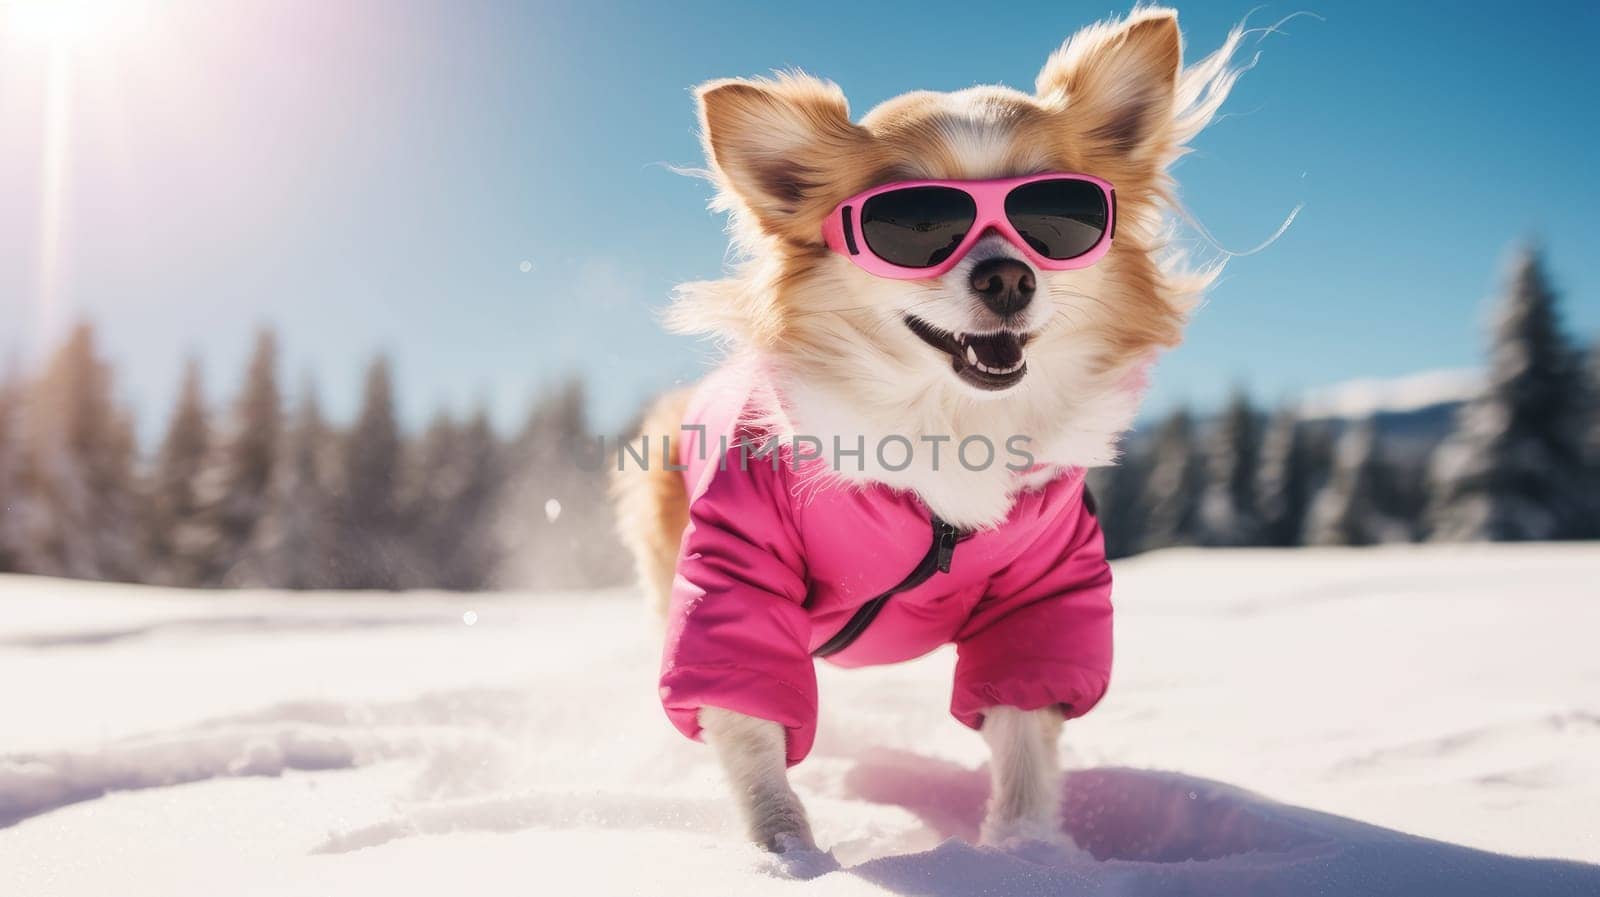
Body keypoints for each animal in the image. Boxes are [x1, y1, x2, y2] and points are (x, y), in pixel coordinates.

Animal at [614, 5, 1248, 863]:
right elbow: (748, 725)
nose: (1009, 275)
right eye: (915, 225)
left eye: (1056, 217)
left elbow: (1024, 739)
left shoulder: (1044, 592)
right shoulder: (735, 572)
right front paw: (789, 854)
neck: (948, 419)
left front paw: (1025, 855)